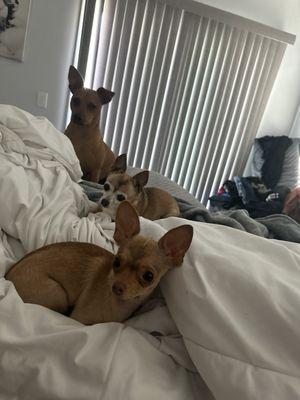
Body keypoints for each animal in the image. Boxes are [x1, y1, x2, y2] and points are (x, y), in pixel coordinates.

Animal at [5, 203, 193, 324]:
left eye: (148, 276)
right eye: (116, 262)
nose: (117, 287)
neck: (121, 305)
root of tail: (6, 277)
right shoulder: (79, 319)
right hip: (57, 294)